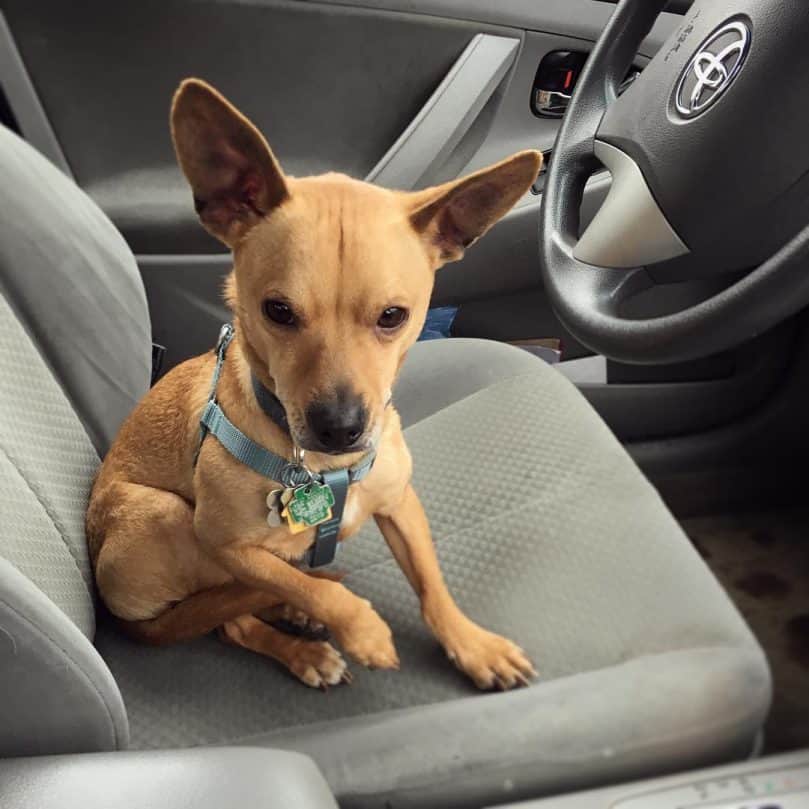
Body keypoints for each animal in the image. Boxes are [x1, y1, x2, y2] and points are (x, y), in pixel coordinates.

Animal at [85, 80, 544, 688]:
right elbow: (308, 587)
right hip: (165, 515)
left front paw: (472, 644)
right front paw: (363, 629)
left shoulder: (401, 503)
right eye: (277, 311)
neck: (325, 470)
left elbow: (430, 583)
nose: (341, 428)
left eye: (394, 316)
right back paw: (301, 649)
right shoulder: (225, 545)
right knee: (232, 620)